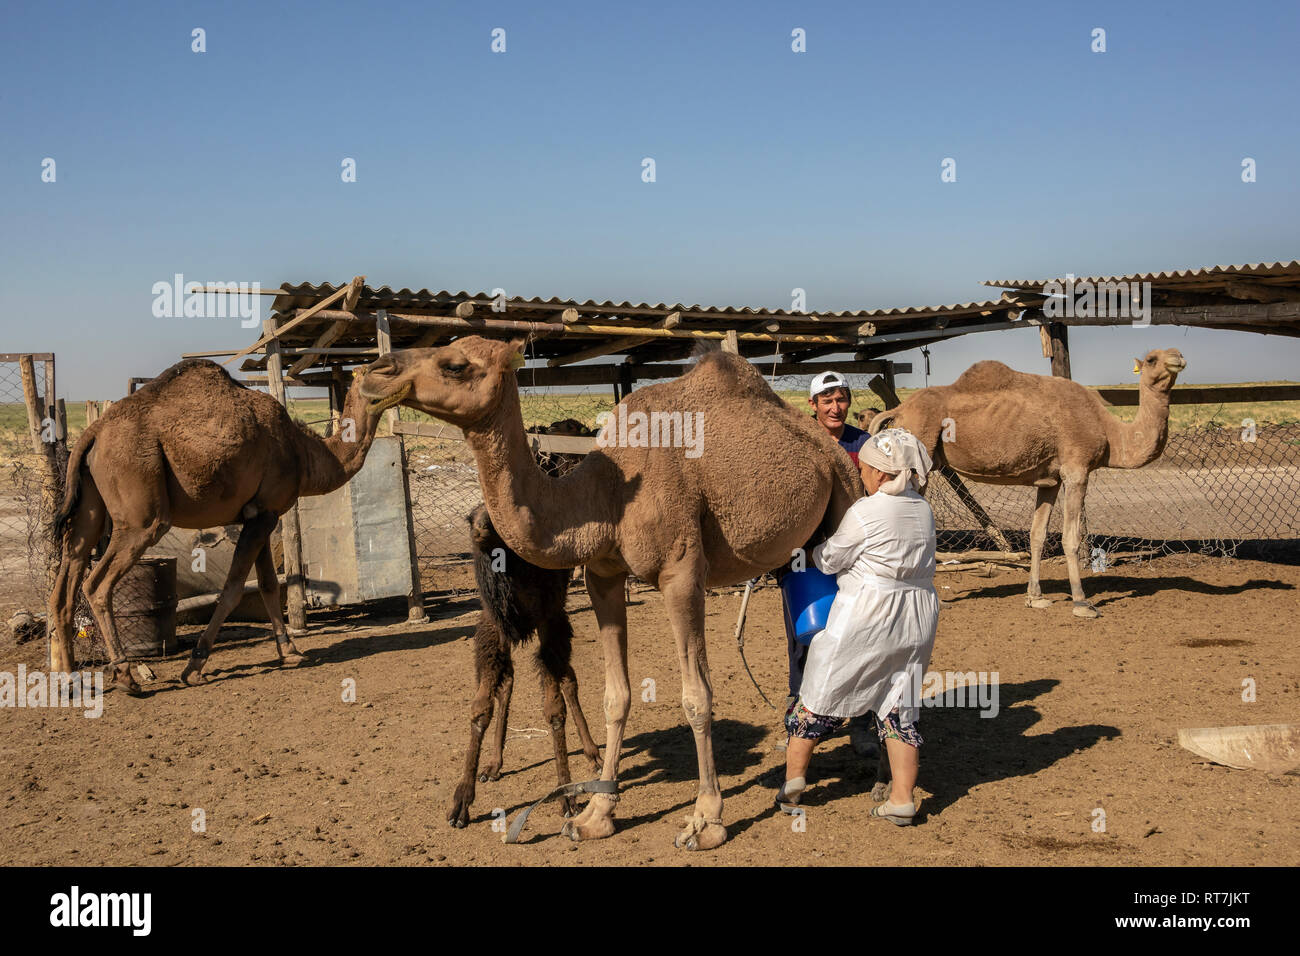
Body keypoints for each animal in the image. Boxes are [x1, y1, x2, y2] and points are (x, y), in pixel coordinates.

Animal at [48, 356, 405, 691]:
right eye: (380, 371)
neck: (304, 455)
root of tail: (93, 433)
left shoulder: (262, 514)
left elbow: (268, 585)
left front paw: (290, 651)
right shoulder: (263, 513)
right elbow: (233, 589)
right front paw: (194, 667)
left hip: (91, 507)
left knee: (66, 581)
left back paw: (68, 678)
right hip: (141, 514)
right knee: (96, 584)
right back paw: (125, 675)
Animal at [449, 504, 600, 827]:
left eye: (493, 517)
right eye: (471, 516)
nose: (479, 529)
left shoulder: (550, 616)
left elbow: (554, 709)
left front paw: (567, 796)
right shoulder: (494, 624)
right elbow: (480, 707)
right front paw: (461, 803)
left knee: (568, 679)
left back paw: (594, 754)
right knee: (509, 681)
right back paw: (493, 765)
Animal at [868, 348, 1185, 616]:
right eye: (1152, 359)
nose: (1178, 358)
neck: (1110, 433)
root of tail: (898, 412)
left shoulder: (1050, 480)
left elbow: (1038, 535)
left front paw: (1036, 598)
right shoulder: (1077, 469)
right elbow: (1071, 537)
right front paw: (1082, 603)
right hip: (916, 460)